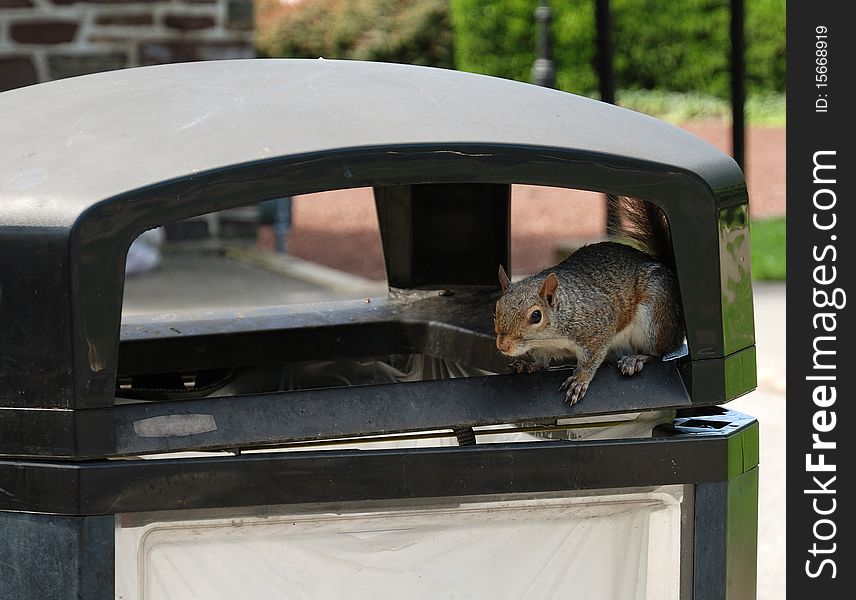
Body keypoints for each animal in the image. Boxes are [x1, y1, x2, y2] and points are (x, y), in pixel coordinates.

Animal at [494, 195, 684, 406]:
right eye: (496, 310)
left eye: (536, 316)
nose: (503, 345)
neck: (549, 337)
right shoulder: (542, 348)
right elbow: (541, 362)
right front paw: (528, 365)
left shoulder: (598, 323)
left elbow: (591, 358)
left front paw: (580, 379)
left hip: (653, 318)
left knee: (659, 351)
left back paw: (636, 358)